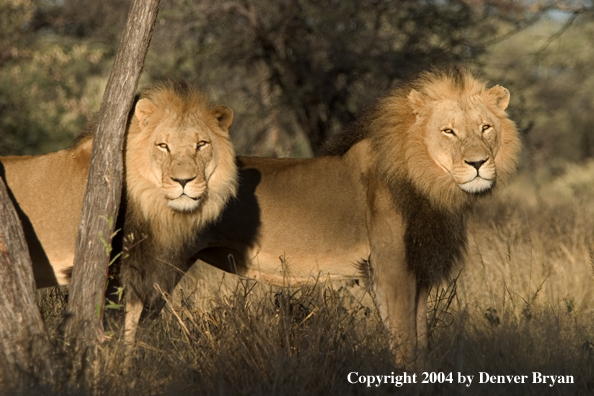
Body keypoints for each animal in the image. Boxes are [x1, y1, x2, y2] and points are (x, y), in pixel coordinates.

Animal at [127, 65, 516, 366]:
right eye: (448, 131)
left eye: (485, 128)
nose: (478, 163)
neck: (431, 183)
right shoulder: (392, 269)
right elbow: (405, 344)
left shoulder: (416, 270)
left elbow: (419, 341)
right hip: (151, 262)